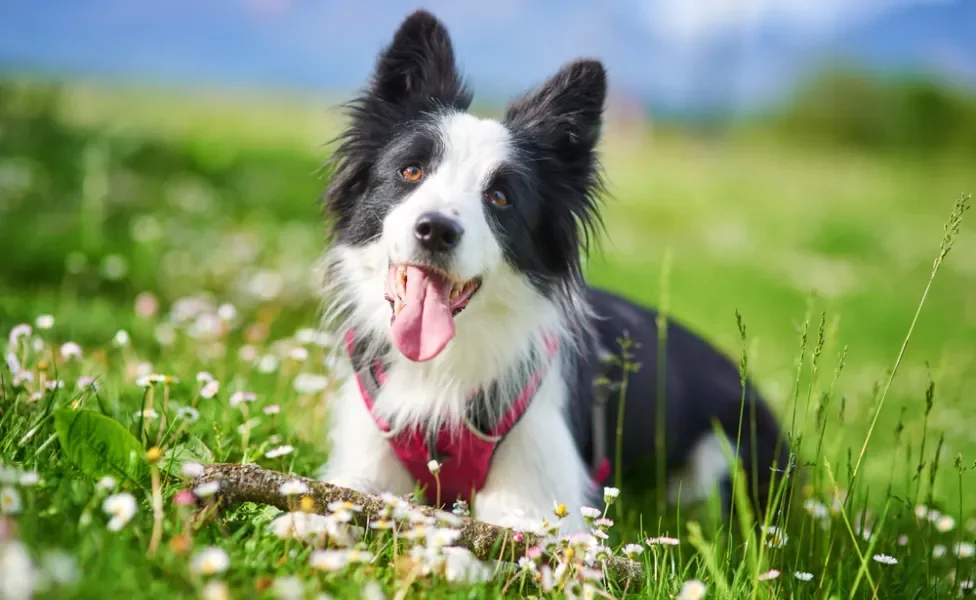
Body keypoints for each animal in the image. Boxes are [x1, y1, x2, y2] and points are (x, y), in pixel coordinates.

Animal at [316, 10, 788, 536]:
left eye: (500, 197)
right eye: (411, 171)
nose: (436, 230)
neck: (443, 365)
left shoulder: (539, 500)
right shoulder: (361, 466)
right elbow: (333, 503)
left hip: (725, 454)